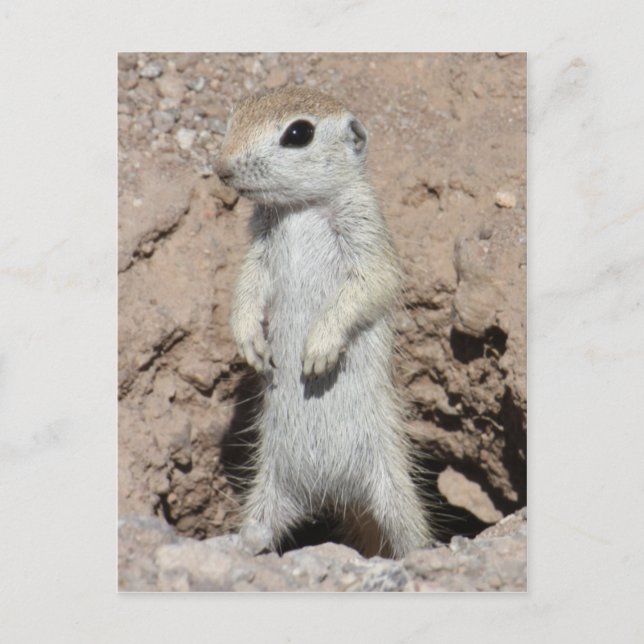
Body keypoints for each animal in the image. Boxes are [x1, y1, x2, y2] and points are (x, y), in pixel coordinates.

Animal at [216, 86, 432, 558]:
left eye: (299, 133)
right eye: (235, 114)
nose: (220, 168)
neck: (302, 208)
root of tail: (332, 494)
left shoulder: (366, 231)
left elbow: (372, 282)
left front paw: (318, 348)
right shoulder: (258, 245)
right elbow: (247, 285)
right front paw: (250, 343)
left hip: (395, 492)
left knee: (413, 538)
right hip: (266, 497)